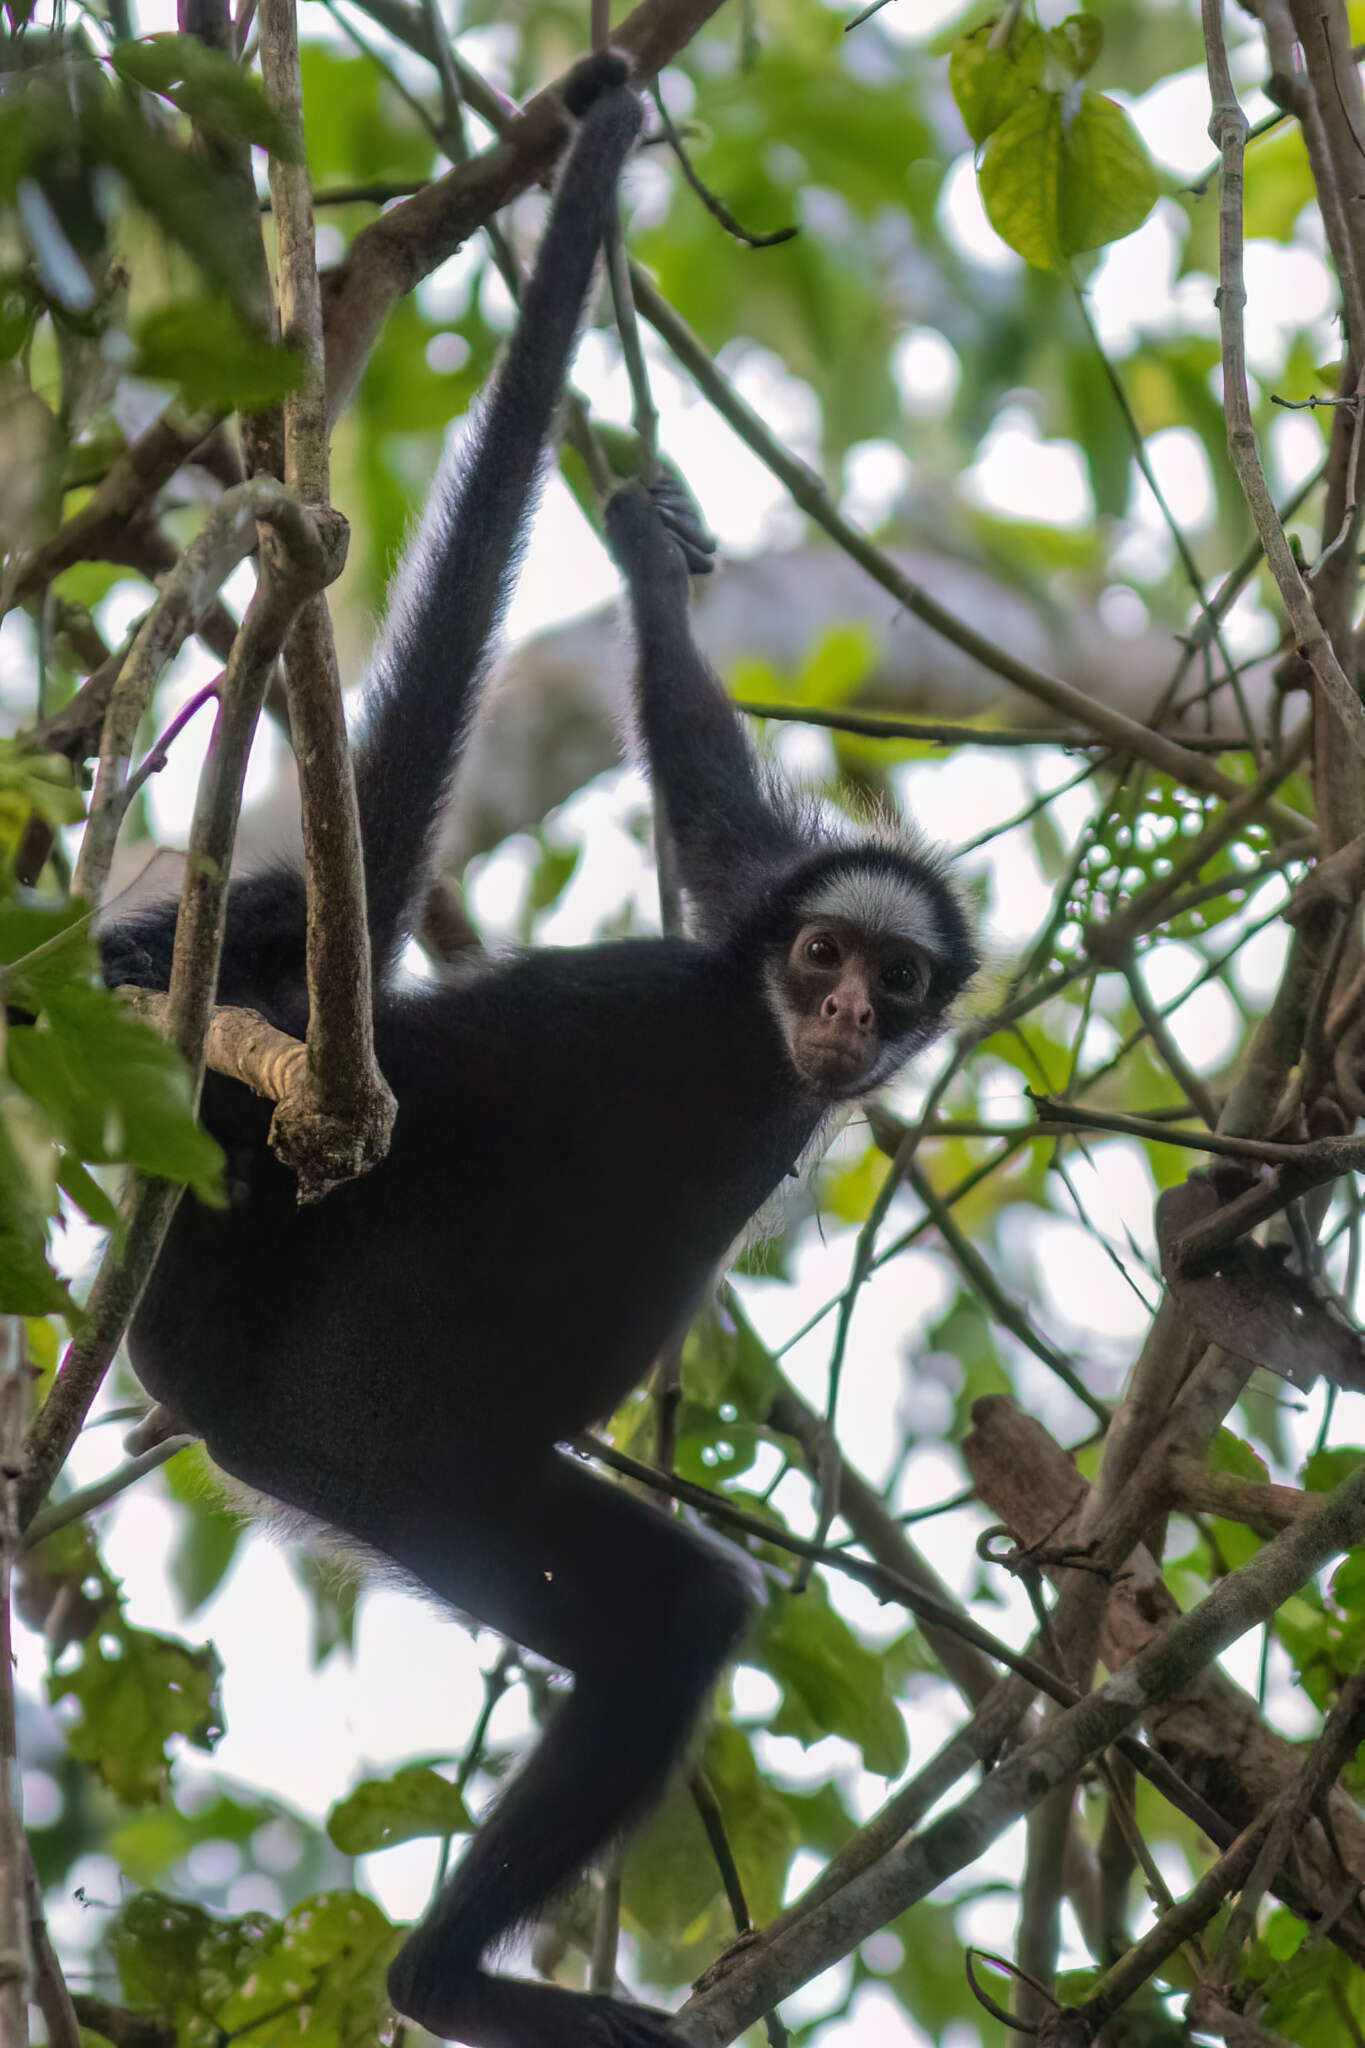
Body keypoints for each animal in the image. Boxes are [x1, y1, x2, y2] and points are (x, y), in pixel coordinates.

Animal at [101, 48, 978, 2048]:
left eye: (891, 985)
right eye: (824, 959)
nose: (839, 1017)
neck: (743, 1060)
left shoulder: (732, 923)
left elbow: (706, 790)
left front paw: (651, 566)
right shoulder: (683, 979)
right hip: (377, 1438)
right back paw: (449, 1979)